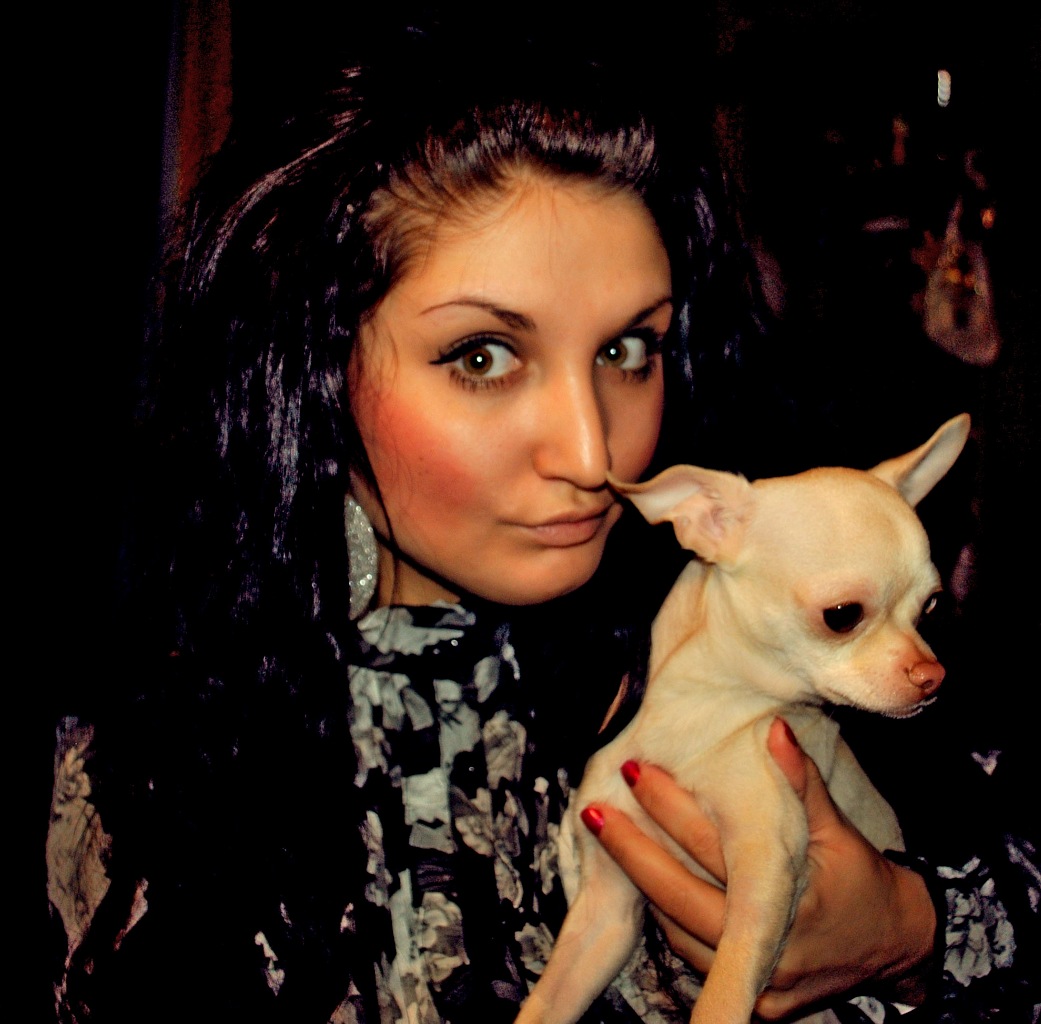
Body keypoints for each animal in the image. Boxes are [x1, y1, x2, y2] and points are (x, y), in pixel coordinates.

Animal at [515, 414, 970, 1024]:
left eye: (932, 607)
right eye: (842, 616)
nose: (934, 675)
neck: (707, 710)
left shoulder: (763, 878)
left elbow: (723, 999)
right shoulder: (607, 914)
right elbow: (546, 1003)